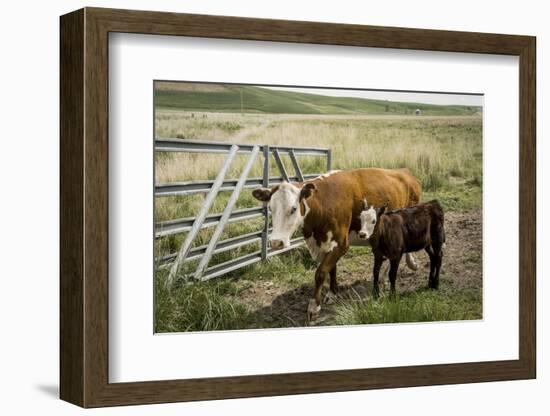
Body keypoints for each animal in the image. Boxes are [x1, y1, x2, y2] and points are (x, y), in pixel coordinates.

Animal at [254, 167, 422, 320]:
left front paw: (314, 306)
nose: (276, 242)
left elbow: (321, 273)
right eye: (271, 208)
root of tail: (404, 172)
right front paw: (332, 293)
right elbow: (331, 269)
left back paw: (404, 267)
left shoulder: (341, 243)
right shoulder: (326, 244)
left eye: (293, 208)